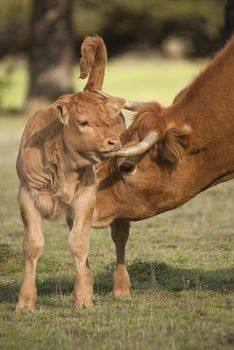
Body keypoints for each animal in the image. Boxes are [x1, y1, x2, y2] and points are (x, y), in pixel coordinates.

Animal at [16, 35, 126, 310]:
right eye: (84, 121)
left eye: (111, 120)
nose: (114, 141)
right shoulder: (27, 196)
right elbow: (33, 245)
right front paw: (25, 301)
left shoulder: (86, 198)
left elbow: (78, 243)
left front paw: (83, 298)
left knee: (118, 236)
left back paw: (120, 288)